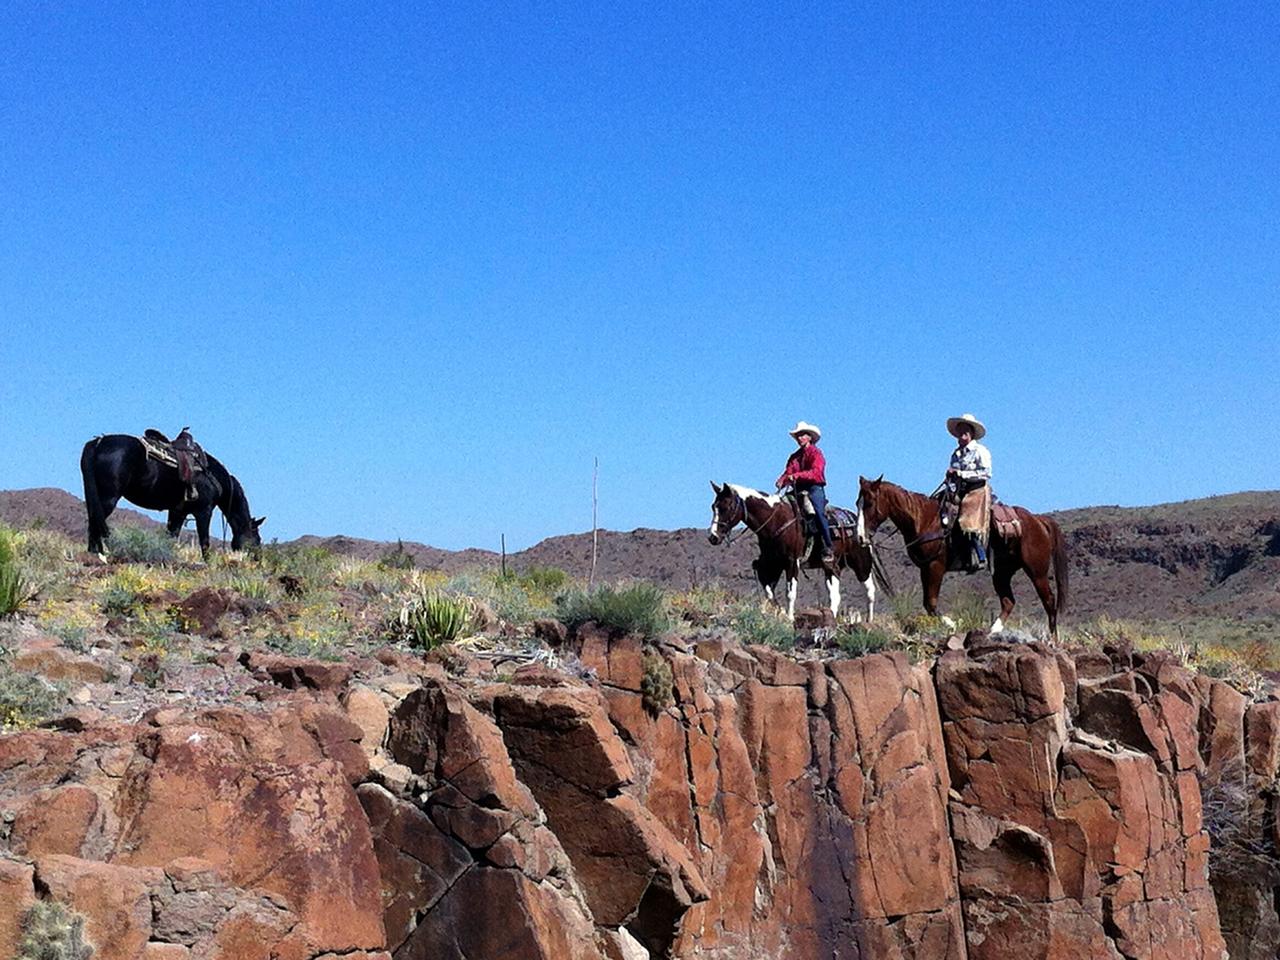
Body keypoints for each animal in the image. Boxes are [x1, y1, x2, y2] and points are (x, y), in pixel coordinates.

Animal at [80, 435, 264, 560]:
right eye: (257, 539)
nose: (258, 559)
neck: (213, 475)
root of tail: (98, 442)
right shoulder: (204, 512)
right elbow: (204, 541)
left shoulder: (177, 512)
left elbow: (171, 536)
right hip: (108, 498)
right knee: (95, 522)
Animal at [711, 481, 890, 624]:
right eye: (713, 507)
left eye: (726, 507)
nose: (713, 537)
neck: (776, 520)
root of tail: (859, 527)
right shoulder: (772, 564)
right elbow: (768, 590)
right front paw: (780, 612)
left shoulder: (791, 561)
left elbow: (790, 592)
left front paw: (789, 617)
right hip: (832, 567)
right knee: (835, 596)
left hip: (862, 564)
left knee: (869, 591)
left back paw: (869, 620)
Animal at [860, 478, 1070, 642]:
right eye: (857, 502)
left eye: (869, 503)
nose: (861, 537)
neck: (925, 520)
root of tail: (1038, 520)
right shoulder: (925, 568)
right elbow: (928, 604)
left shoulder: (936, 567)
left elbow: (931, 603)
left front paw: (953, 624)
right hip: (1002, 572)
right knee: (1008, 601)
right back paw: (992, 631)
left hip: (1037, 571)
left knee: (1049, 601)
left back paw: (1053, 639)